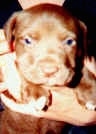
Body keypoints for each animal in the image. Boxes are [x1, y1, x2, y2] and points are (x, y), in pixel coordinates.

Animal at [0, 3, 95, 134]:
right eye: (28, 40)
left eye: (69, 41)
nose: (50, 71)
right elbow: (22, 67)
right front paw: (35, 91)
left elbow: (81, 69)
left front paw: (89, 92)